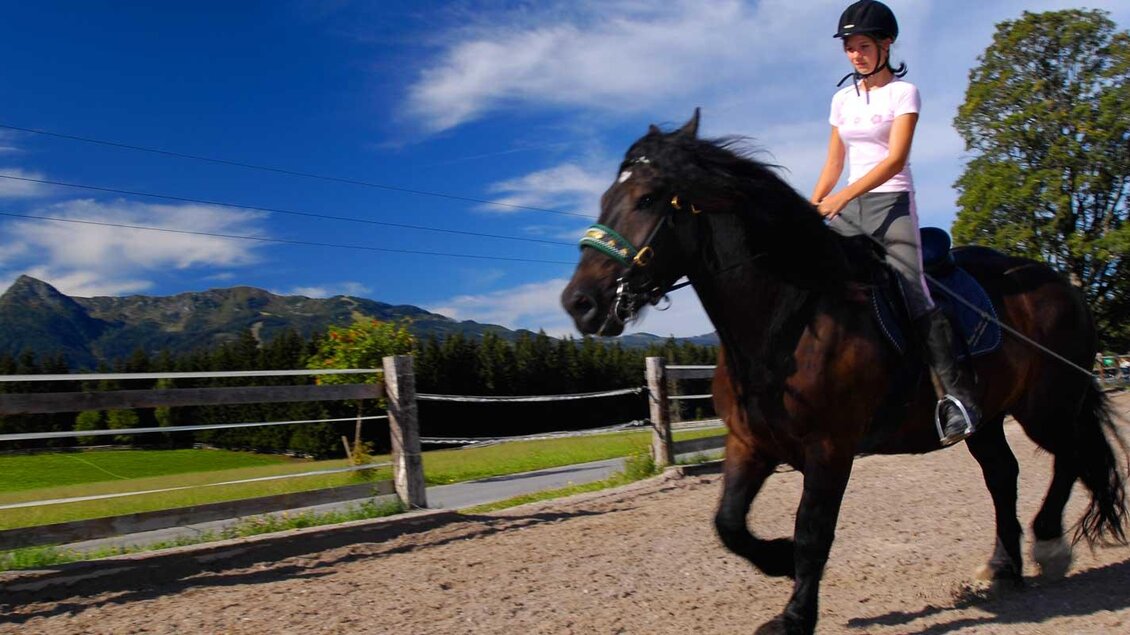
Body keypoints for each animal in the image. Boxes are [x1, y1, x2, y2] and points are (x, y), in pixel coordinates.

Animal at [561, 110, 1127, 634]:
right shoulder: (750, 443)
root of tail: (1062, 283)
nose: (579, 304)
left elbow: (813, 532)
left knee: (1071, 457)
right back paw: (1003, 566)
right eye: (606, 198)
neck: (788, 318)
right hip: (987, 418)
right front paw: (777, 559)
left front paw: (794, 615)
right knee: (1003, 475)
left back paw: (1048, 545)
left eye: (648, 199)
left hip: (1048, 406)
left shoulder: (829, 450)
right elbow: (729, 524)